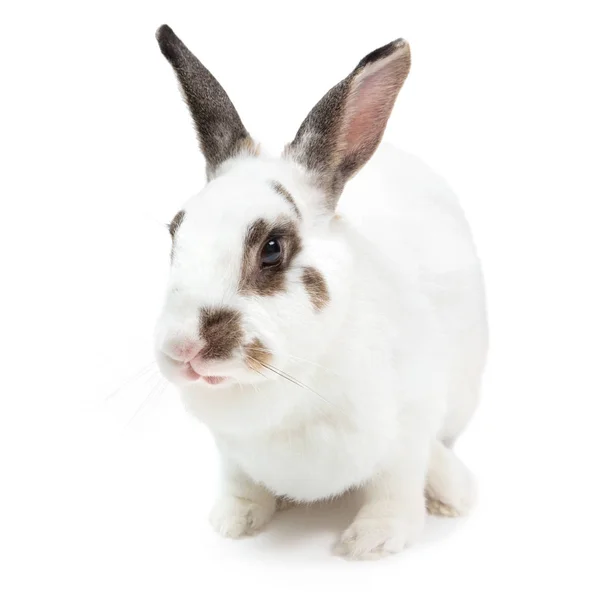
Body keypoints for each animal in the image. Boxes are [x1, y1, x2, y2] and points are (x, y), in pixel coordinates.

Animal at [151, 22, 488, 556]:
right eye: (174, 233)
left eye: (272, 248)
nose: (184, 349)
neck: (291, 385)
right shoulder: (230, 448)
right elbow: (241, 483)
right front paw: (235, 520)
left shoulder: (408, 429)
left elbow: (396, 486)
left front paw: (372, 540)